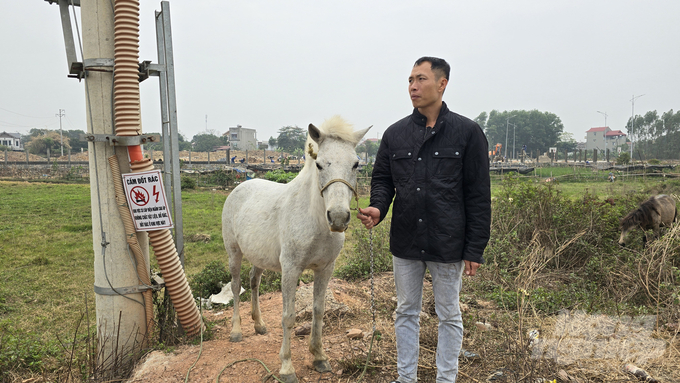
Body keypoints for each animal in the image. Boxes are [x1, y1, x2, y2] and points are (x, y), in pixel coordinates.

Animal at [222, 115, 372, 382]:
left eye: (356, 164)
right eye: (320, 165)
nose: (338, 218)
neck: (314, 220)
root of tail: (238, 188)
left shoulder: (325, 269)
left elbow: (319, 311)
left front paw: (319, 357)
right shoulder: (291, 270)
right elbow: (288, 317)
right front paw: (286, 367)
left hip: (258, 258)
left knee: (254, 282)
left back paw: (259, 325)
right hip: (234, 253)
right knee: (237, 286)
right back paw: (237, 331)